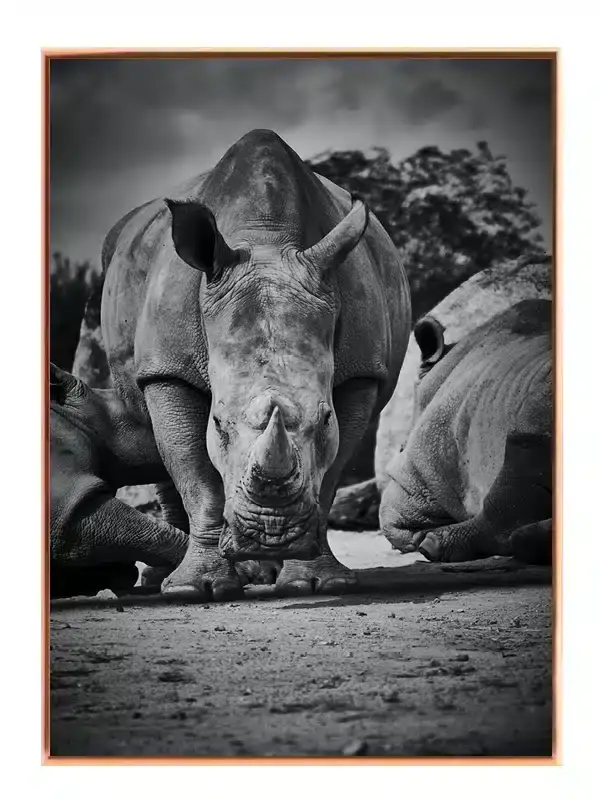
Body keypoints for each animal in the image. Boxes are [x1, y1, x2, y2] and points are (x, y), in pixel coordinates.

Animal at [99, 129, 411, 599]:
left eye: (325, 419)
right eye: (218, 424)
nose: (272, 532)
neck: (266, 240)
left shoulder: (360, 371)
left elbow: (330, 474)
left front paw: (318, 582)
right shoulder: (168, 368)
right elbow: (195, 471)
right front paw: (197, 589)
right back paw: (163, 583)